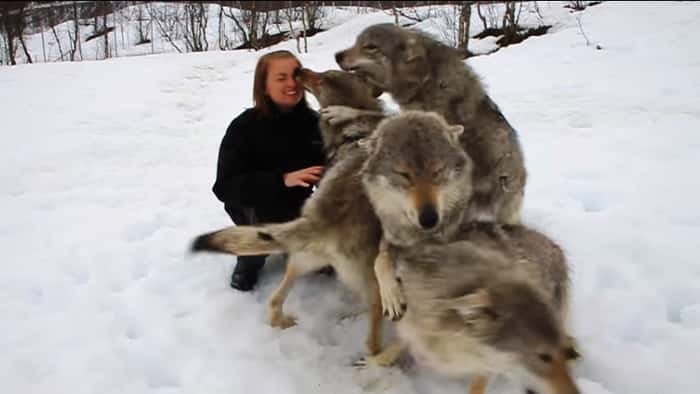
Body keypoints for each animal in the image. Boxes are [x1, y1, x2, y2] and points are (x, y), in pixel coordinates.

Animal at [360, 223, 580, 394]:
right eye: (544, 357)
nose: (576, 393)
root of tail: (556, 247)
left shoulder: (489, 365)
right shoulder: (413, 325)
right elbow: (398, 344)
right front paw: (373, 362)